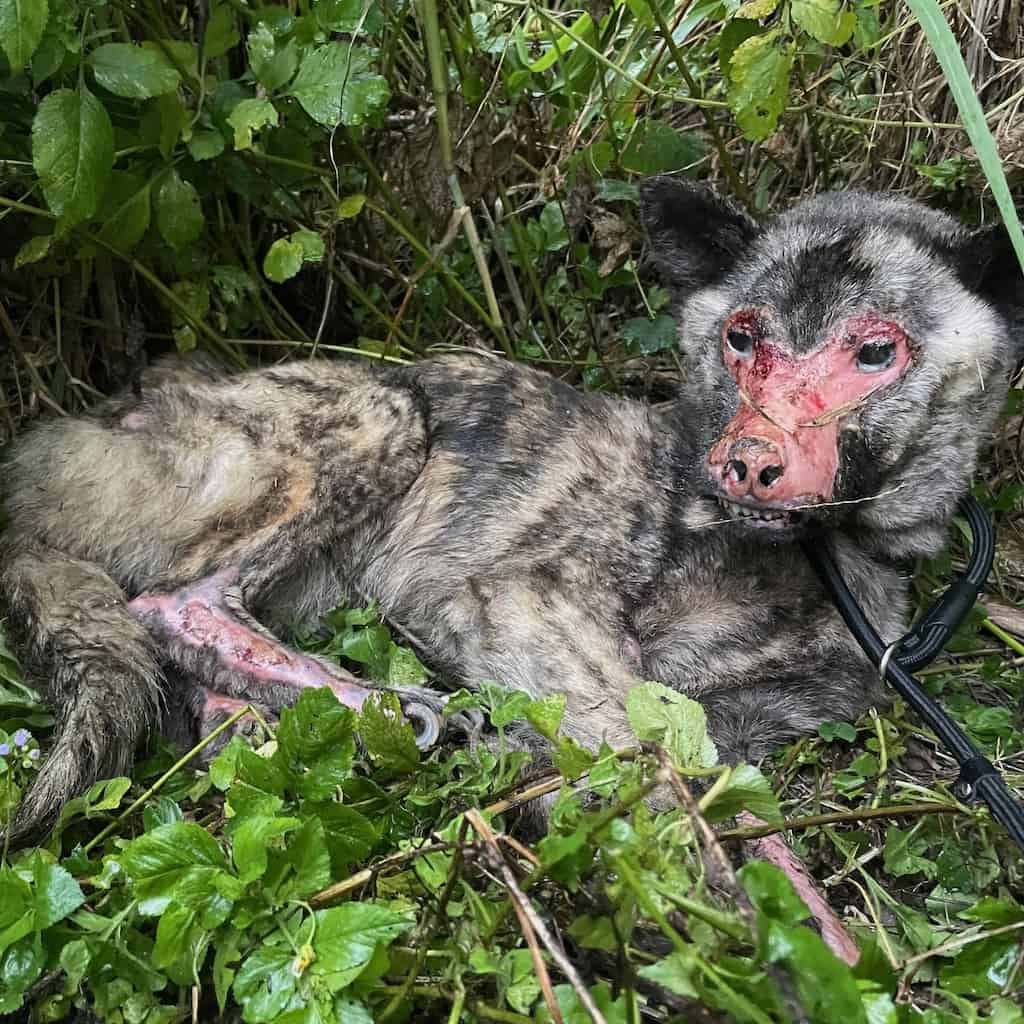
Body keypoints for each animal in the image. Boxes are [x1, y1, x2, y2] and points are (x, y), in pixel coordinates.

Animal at [2, 179, 1022, 868]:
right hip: (378, 411)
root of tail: (82, 428)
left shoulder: (773, 706)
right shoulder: (516, 597)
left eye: (875, 351)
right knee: (176, 601)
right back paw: (398, 708)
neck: (817, 557)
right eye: (741, 336)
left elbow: (692, 758)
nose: (747, 458)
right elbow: (659, 763)